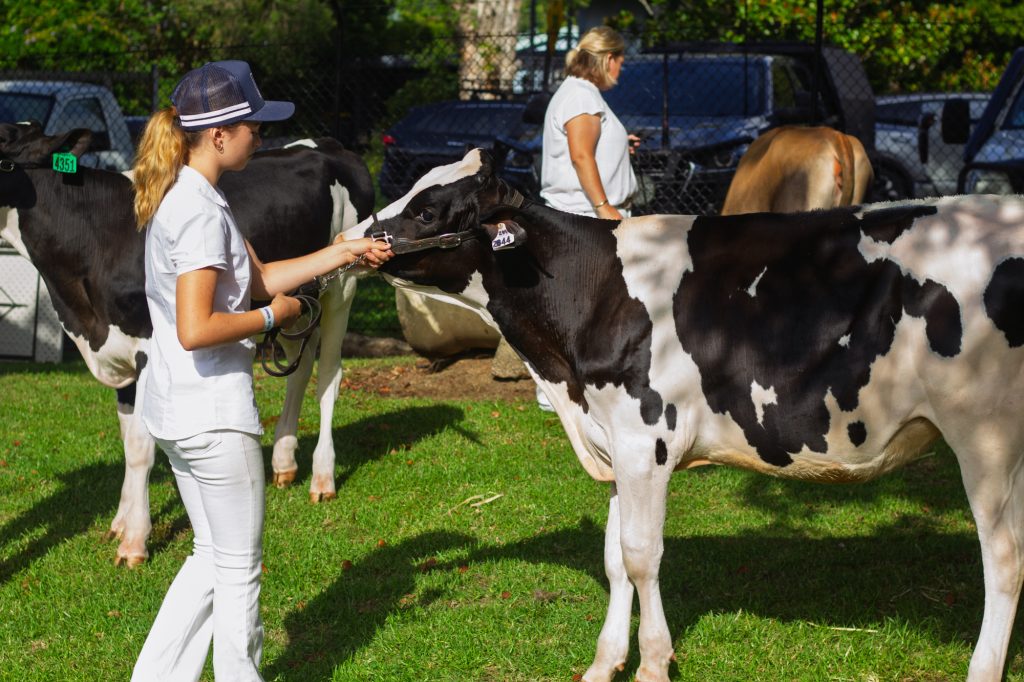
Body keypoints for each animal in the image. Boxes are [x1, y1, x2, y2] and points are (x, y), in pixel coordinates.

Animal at [0, 121, 373, 566]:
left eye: (2, 149)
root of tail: (328, 145)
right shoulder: (118, 348)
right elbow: (128, 440)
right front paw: (121, 522)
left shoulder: (148, 346)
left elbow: (141, 445)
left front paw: (135, 541)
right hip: (302, 300)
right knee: (297, 372)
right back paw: (283, 462)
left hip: (343, 289)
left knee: (329, 377)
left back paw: (322, 476)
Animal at [340, 147, 1024, 682]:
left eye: (428, 209)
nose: (350, 241)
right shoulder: (616, 440)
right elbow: (614, 558)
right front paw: (604, 662)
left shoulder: (646, 439)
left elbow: (642, 554)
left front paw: (652, 661)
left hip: (986, 435)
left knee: (1004, 561)